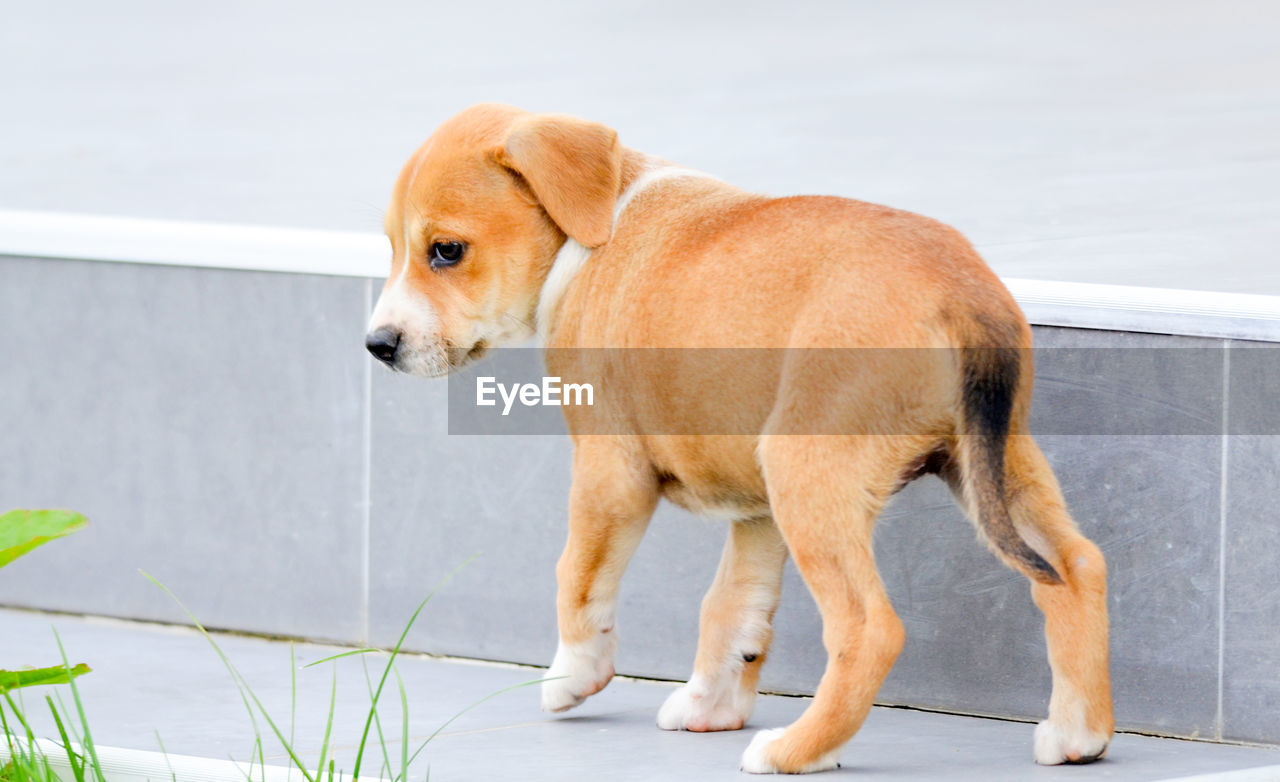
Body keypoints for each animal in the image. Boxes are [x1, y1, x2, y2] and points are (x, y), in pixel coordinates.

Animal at [363, 105, 1111, 778]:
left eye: (447, 251)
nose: (378, 345)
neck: (590, 232)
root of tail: (960, 292)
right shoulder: (756, 511)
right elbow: (732, 604)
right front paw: (709, 703)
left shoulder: (609, 472)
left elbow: (577, 575)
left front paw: (573, 676)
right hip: (995, 464)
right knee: (1075, 567)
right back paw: (1078, 735)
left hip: (809, 471)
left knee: (870, 629)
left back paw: (796, 751)